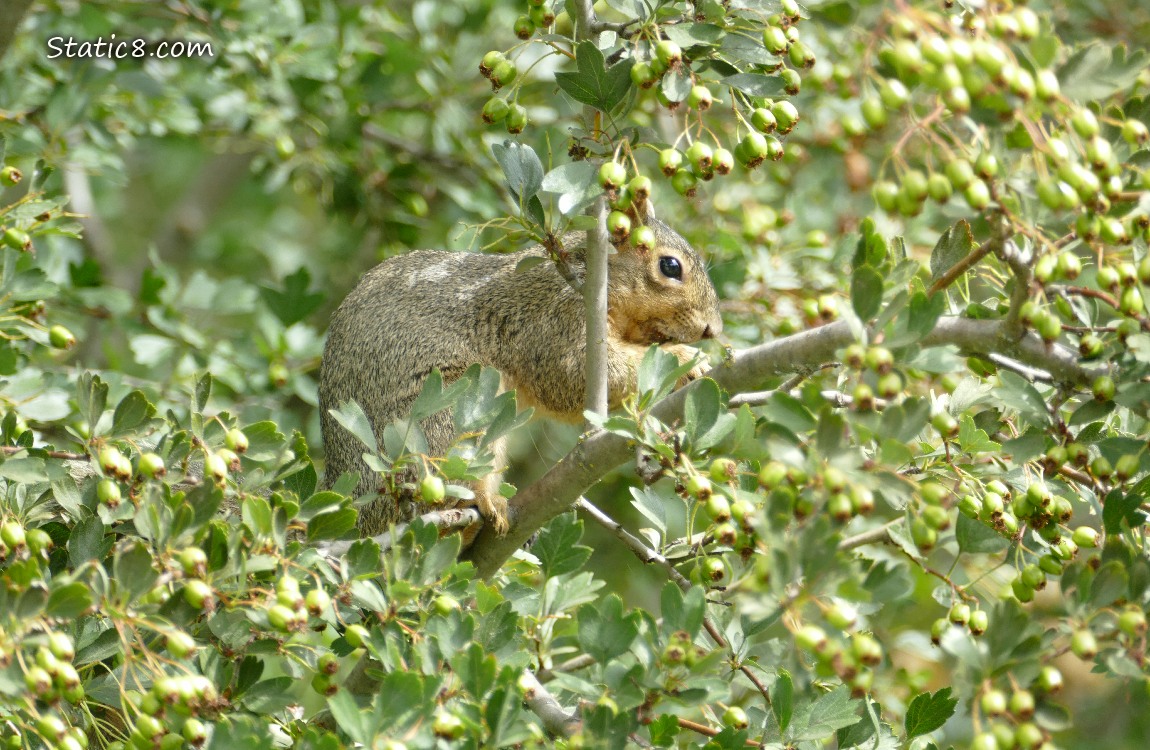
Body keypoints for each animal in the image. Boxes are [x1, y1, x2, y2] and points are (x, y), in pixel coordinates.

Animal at [318, 216, 723, 537]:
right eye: (670, 266)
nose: (713, 329)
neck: (591, 276)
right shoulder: (553, 319)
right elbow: (570, 378)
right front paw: (687, 359)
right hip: (445, 420)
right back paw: (484, 503)